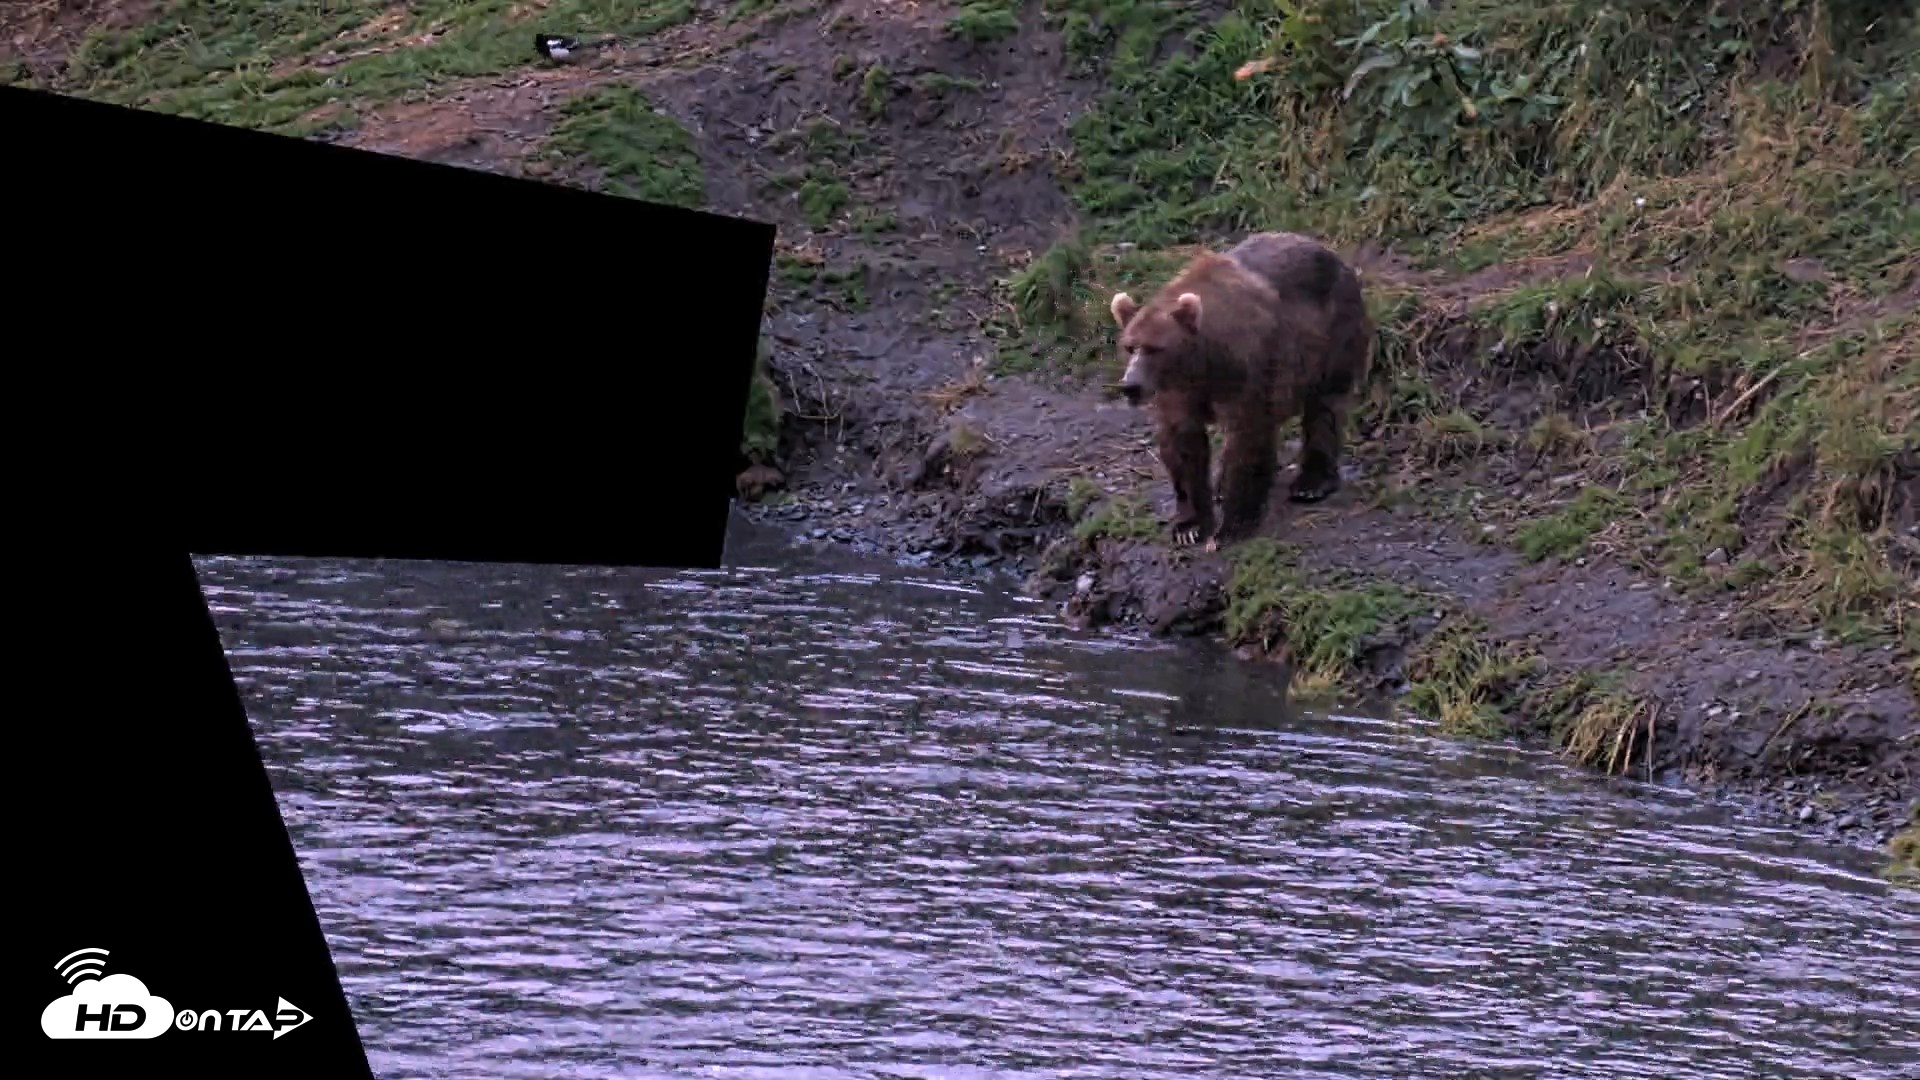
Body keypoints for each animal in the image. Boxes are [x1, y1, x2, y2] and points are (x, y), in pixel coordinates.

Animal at [1108, 231, 1373, 551]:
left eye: (1155, 348)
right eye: (1129, 346)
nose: (1131, 386)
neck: (1202, 364)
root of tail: (1333, 254)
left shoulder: (1246, 371)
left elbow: (1247, 437)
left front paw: (1233, 525)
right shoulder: (1178, 393)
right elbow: (1183, 442)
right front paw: (1189, 526)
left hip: (1333, 334)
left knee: (1325, 406)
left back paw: (1311, 483)